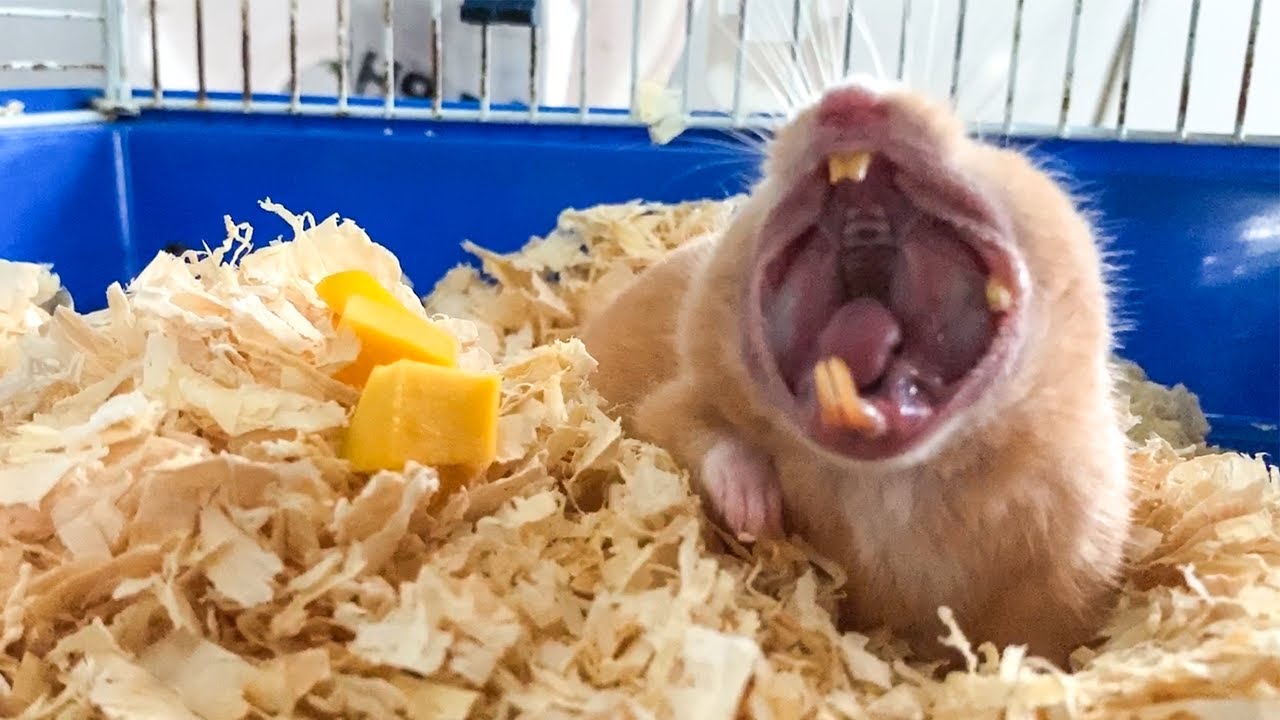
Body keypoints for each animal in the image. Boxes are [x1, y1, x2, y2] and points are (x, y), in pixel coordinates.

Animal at [579, 77, 1132, 669]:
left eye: (982, 145)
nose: (849, 96)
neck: (887, 480)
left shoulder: (1075, 548)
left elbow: (1041, 637)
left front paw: (1018, 671)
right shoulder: (669, 405)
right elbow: (698, 436)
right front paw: (757, 517)